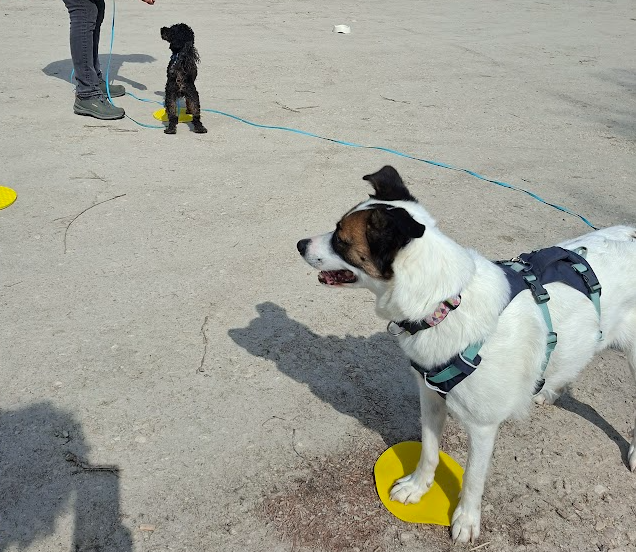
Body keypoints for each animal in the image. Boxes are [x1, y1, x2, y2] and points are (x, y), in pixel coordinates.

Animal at [296, 165, 636, 543]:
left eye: (341, 238)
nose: (300, 244)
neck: (444, 303)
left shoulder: (483, 427)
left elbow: (473, 479)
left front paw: (466, 520)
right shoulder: (430, 397)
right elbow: (429, 451)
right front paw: (418, 487)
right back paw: (548, 390)